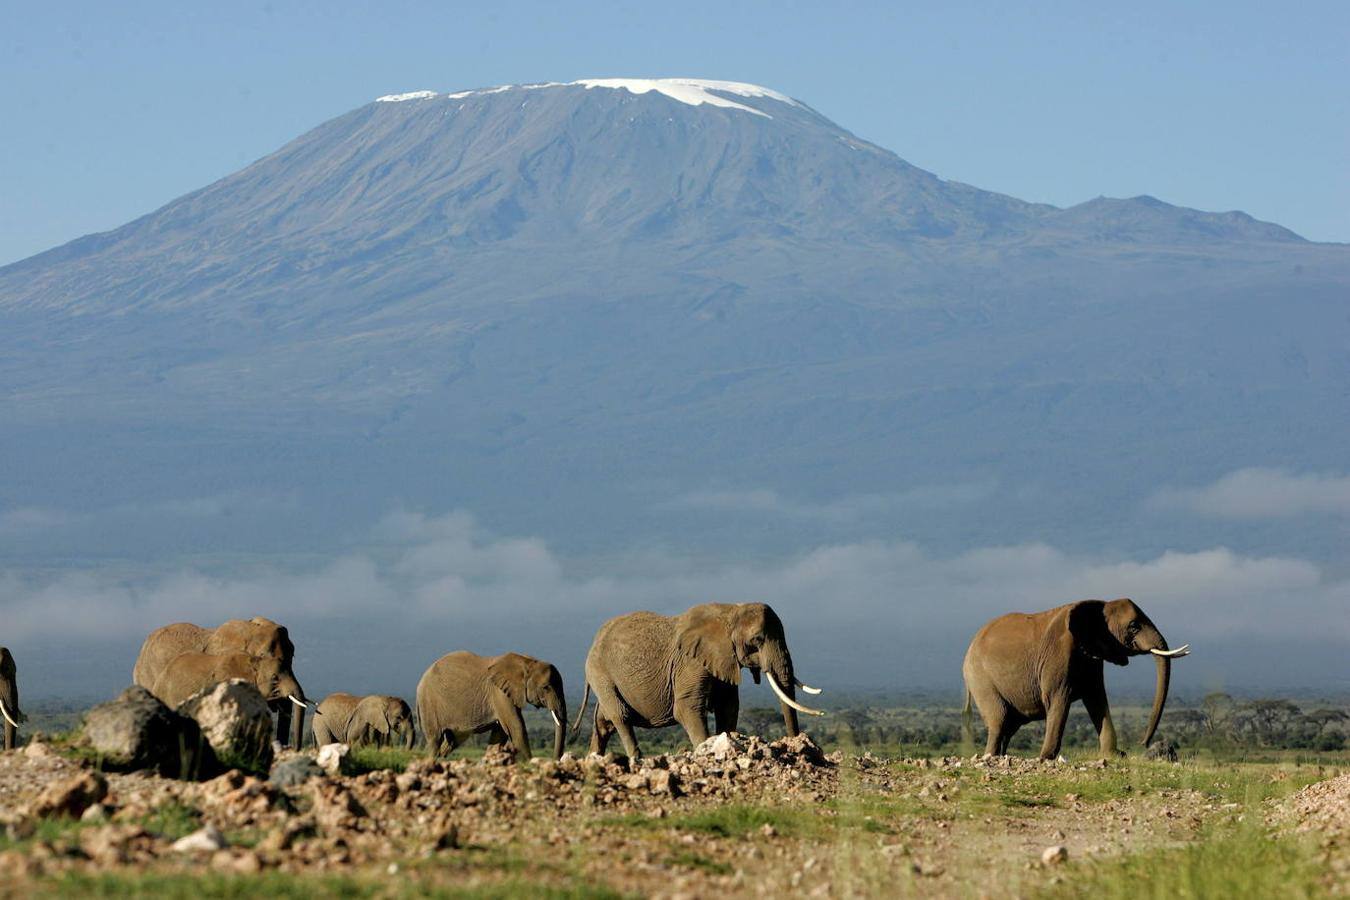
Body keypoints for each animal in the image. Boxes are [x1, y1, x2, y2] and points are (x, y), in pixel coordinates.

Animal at [421, 650, 569, 766]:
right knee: (435, 740)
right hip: (429, 704)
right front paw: (530, 764)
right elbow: (516, 728)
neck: (527, 662)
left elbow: (500, 733)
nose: (555, 761)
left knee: (451, 742)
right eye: (546, 687)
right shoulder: (499, 693)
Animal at [569, 604, 820, 761]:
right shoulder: (691, 662)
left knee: (604, 722)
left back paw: (594, 758)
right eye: (757, 640)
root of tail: (594, 641)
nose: (796, 744)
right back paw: (636, 759)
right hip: (600, 672)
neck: (731, 611)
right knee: (620, 716)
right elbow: (686, 708)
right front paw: (706, 751)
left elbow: (728, 708)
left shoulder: (723, 661)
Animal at [961, 599, 1193, 761]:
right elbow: (1058, 700)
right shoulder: (1058, 654)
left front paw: (1114, 755)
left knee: (1009, 726)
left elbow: (1097, 700)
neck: (1099, 606)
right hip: (980, 679)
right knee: (999, 720)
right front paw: (1045, 758)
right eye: (1134, 626)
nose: (1142, 743)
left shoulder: (1092, 658)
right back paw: (991, 757)